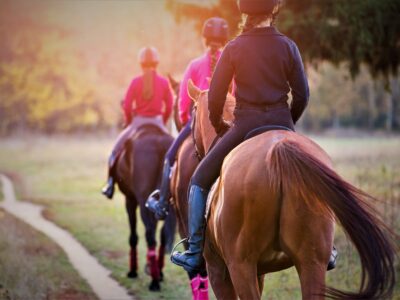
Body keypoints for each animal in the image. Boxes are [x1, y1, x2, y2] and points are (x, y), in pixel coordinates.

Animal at [113, 124, 174, 290]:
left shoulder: (130, 200)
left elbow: (133, 236)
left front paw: (133, 271)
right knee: (162, 235)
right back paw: (158, 272)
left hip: (142, 202)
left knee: (150, 236)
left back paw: (154, 281)